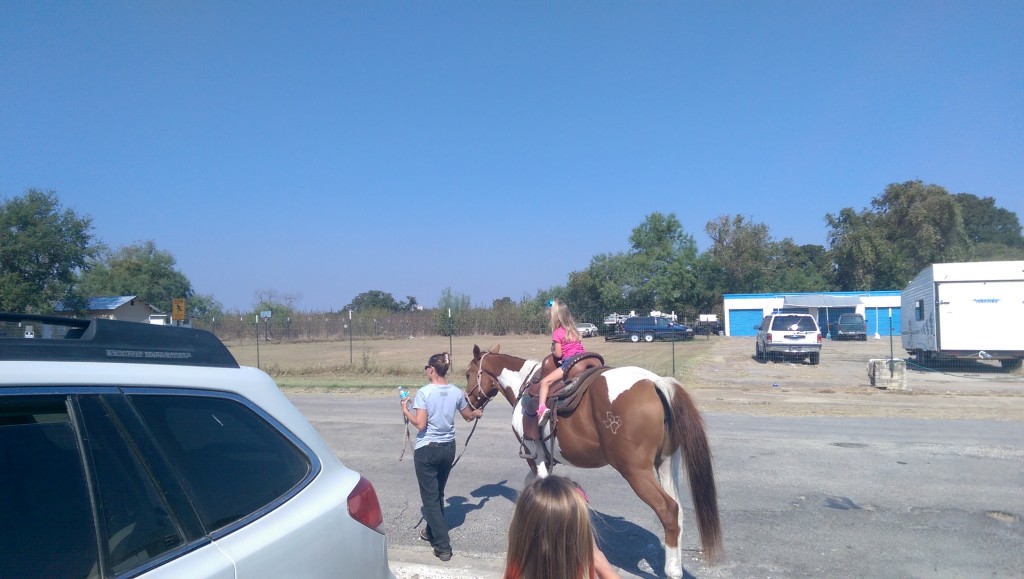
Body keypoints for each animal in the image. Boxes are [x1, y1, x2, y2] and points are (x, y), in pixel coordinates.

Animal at [463, 344, 723, 578]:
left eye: (467, 374)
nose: (467, 409)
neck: (523, 385)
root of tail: (655, 382)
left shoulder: (534, 455)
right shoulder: (543, 460)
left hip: (636, 472)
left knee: (668, 510)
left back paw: (672, 571)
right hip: (667, 463)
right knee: (678, 512)